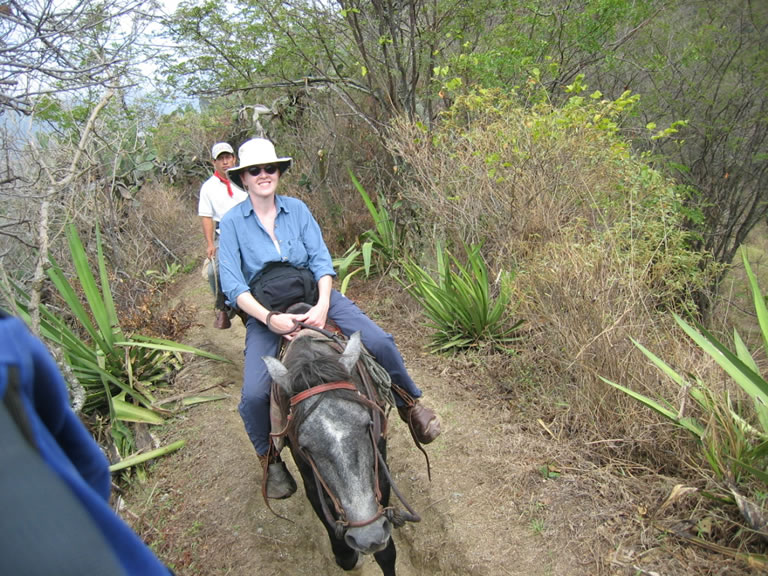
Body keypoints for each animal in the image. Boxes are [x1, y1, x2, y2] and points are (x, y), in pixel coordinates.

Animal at [263, 329, 419, 576]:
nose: (368, 537)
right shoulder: (311, 479)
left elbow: (386, 552)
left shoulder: (380, 468)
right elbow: (342, 551)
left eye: (367, 424)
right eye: (305, 446)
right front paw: (351, 555)